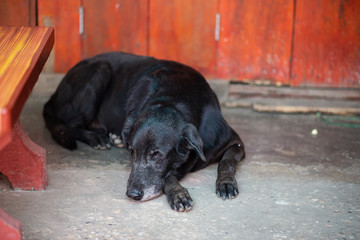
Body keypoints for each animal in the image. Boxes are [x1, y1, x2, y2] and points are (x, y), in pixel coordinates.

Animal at [43, 51, 245, 211]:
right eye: (132, 152)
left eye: (156, 155)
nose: (132, 194)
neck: (172, 100)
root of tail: (54, 93)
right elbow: (168, 177)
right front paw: (177, 193)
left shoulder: (234, 143)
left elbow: (226, 162)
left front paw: (226, 183)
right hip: (99, 71)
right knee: (72, 124)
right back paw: (97, 138)